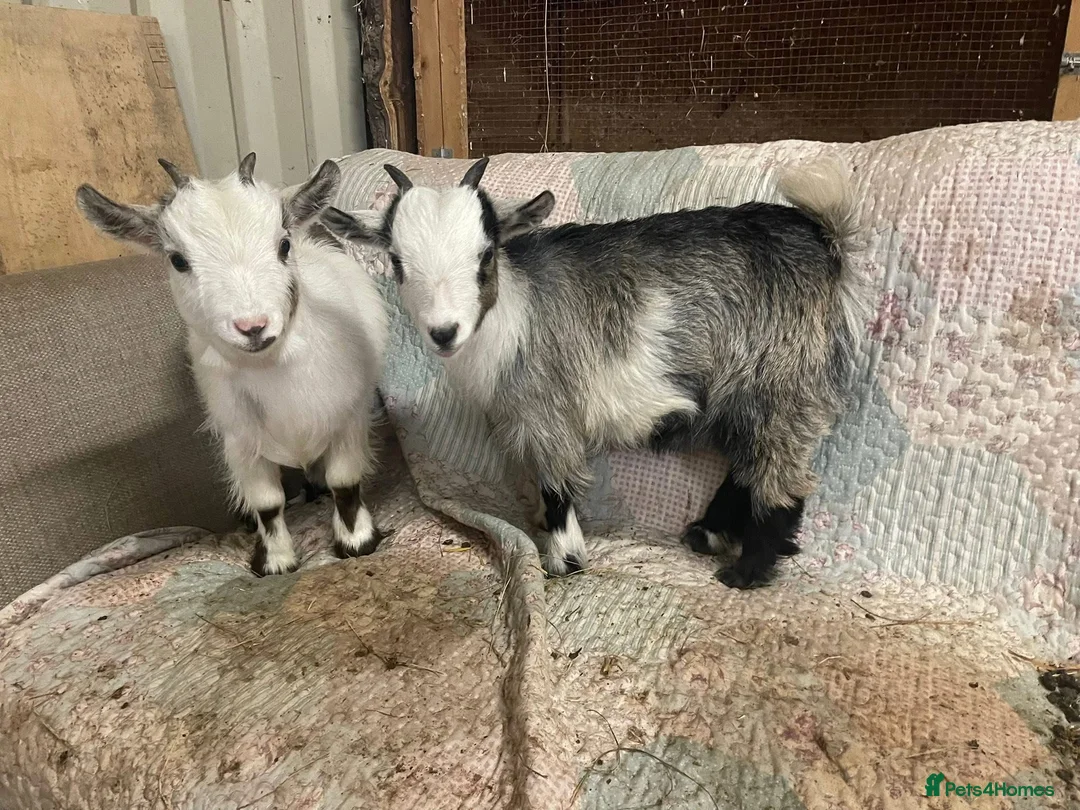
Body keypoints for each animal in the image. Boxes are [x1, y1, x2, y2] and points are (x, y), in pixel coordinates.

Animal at [76, 154, 389, 576]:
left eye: (283, 245)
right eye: (178, 260)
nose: (253, 326)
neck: (273, 367)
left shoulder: (348, 417)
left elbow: (344, 483)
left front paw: (357, 541)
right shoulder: (240, 439)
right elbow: (267, 503)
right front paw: (275, 562)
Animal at [322, 158, 862, 588]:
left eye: (486, 254)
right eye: (396, 260)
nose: (443, 331)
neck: (514, 312)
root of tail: (823, 241)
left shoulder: (550, 412)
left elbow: (558, 487)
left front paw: (565, 560)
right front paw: (542, 527)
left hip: (784, 382)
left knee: (780, 479)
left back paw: (746, 571)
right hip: (743, 393)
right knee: (744, 468)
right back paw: (708, 535)